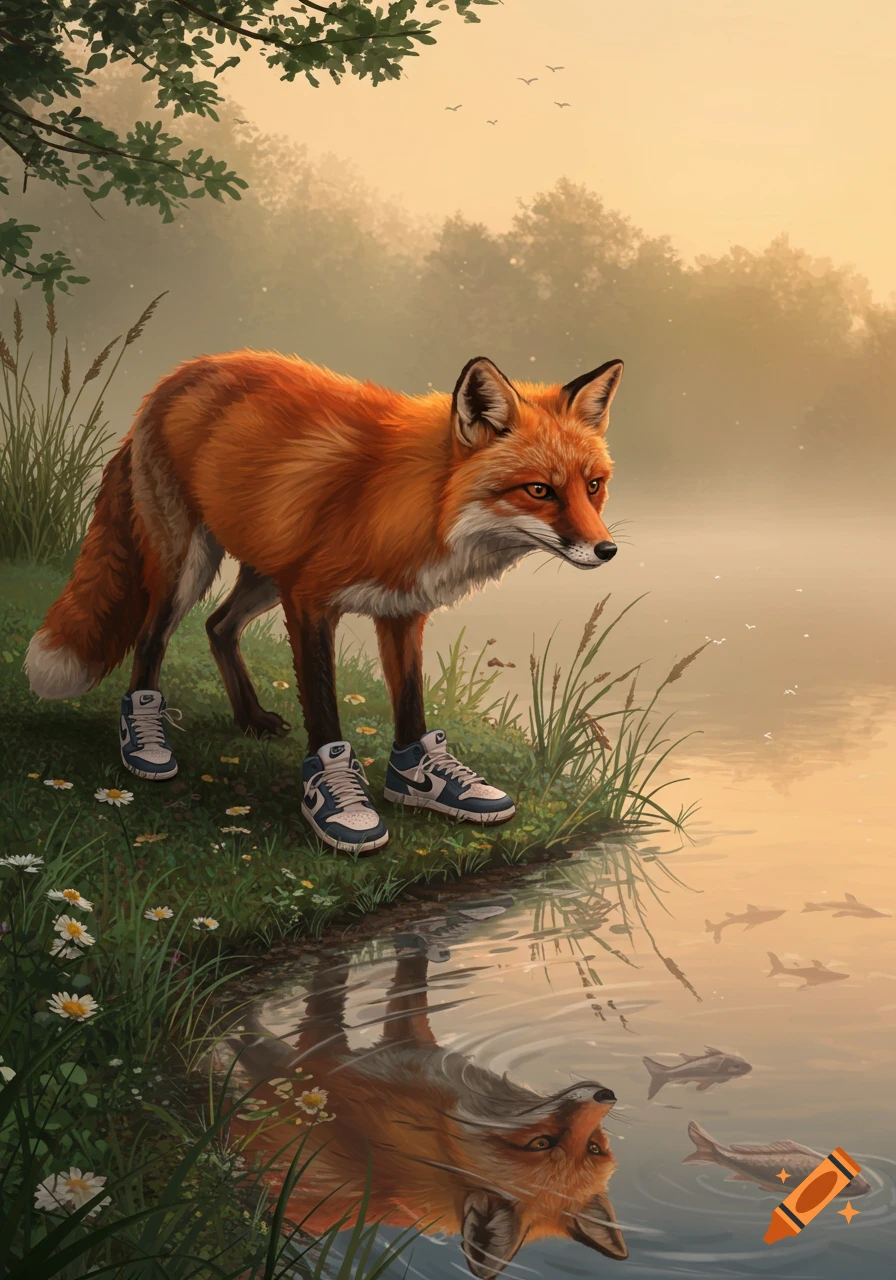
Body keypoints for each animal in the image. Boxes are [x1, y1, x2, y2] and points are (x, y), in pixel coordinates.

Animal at [25, 351, 624, 852]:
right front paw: (342, 806)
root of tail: (176, 375)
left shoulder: (401, 610)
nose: (607, 550)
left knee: (218, 626)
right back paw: (145, 745)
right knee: (152, 640)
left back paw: (250, 717)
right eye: (539, 490)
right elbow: (323, 707)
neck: (416, 501)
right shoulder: (310, 603)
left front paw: (430, 782)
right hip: (188, 567)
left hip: (266, 573)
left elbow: (410, 705)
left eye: (593, 486)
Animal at [228, 951, 628, 1276]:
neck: (439, 1131)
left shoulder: (313, 1064)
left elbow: (315, 1005)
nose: (606, 1094)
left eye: (589, 1147)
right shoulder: (398, 1041)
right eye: (543, 1143)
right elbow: (406, 984)